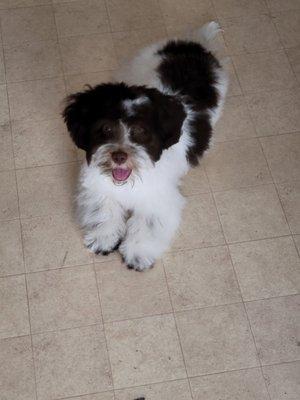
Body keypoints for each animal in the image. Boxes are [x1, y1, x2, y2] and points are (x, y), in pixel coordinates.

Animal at [62, 21, 227, 272]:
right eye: (106, 128)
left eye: (141, 132)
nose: (119, 156)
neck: (129, 181)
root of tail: (194, 44)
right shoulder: (98, 187)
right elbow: (103, 211)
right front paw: (103, 238)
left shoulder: (159, 200)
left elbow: (147, 226)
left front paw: (138, 253)